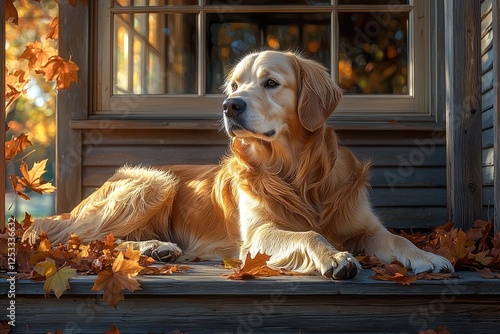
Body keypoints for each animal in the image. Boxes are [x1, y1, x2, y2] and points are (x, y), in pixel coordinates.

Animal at [22, 50, 454, 280]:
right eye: (233, 85)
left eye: (270, 83)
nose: (230, 105)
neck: (296, 173)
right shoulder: (259, 235)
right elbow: (309, 234)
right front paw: (334, 256)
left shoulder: (365, 227)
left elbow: (397, 239)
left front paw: (428, 256)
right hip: (153, 181)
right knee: (85, 240)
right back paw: (153, 247)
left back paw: (157, 248)